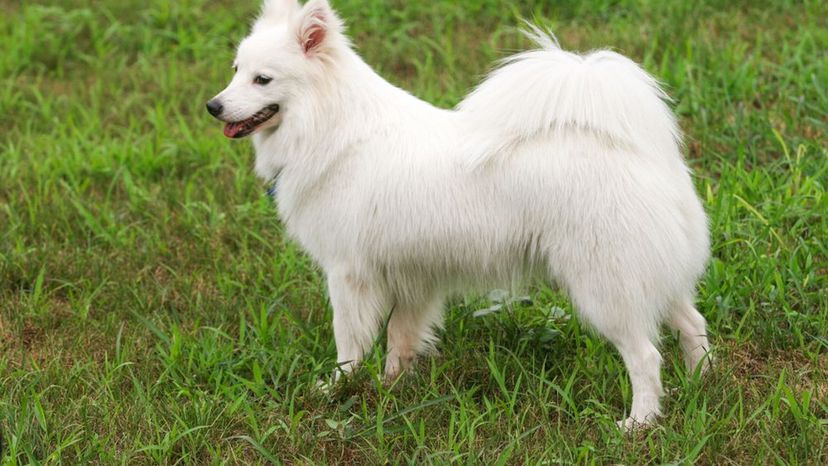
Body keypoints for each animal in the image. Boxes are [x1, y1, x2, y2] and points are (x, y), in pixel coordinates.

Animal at [207, 0, 712, 430]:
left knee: (645, 356)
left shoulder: (349, 274)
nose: (213, 106)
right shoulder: (412, 275)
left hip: (604, 287)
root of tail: (642, 153)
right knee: (693, 324)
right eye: (235, 71)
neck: (332, 126)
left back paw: (639, 422)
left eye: (262, 80)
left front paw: (336, 389)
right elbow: (400, 338)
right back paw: (699, 383)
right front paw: (391, 389)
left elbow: (349, 343)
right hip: (648, 276)